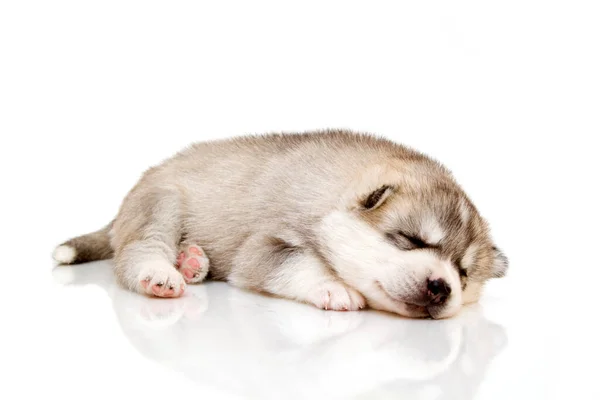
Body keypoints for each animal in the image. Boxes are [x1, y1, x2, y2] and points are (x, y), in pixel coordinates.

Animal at [54, 130, 508, 318]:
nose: (442, 286)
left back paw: (193, 262)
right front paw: (334, 287)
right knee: (139, 250)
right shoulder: (263, 246)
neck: (329, 191)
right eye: (409, 239)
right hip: (161, 202)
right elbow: (298, 263)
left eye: (463, 274)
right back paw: (161, 274)